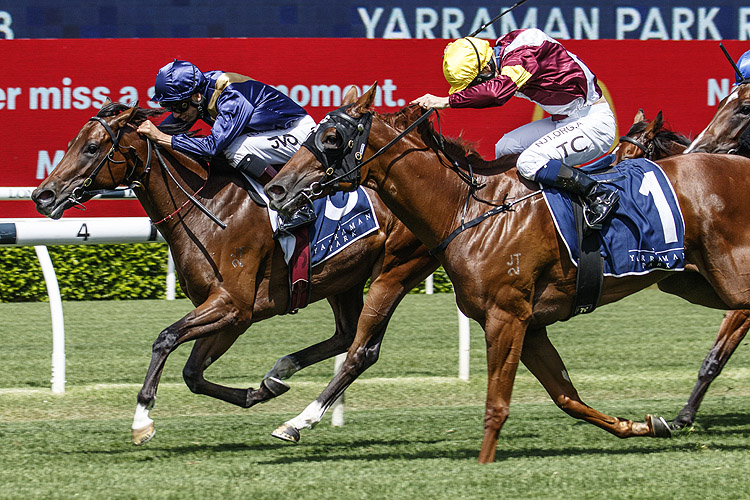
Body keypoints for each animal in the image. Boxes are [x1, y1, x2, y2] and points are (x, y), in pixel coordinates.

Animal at [30, 101, 440, 446]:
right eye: (73, 143)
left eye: (91, 148)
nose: (43, 196)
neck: (207, 207)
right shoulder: (230, 313)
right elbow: (192, 373)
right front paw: (258, 392)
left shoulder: (233, 305)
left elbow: (166, 338)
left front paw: (142, 420)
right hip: (345, 279)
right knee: (345, 334)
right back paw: (280, 372)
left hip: (395, 270)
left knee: (363, 350)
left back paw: (297, 419)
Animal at [268, 84, 750, 462]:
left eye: (331, 137)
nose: (276, 188)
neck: (468, 208)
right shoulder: (530, 324)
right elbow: (567, 397)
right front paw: (646, 425)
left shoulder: (506, 316)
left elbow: (496, 403)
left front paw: (483, 465)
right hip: (695, 283)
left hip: (729, 280)